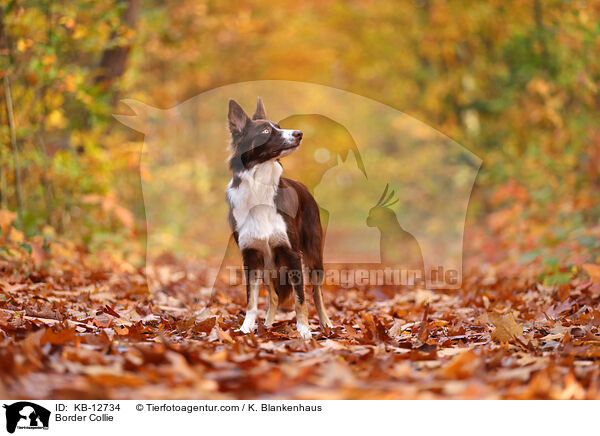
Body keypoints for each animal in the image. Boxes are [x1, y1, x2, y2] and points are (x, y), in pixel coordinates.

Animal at [225, 97, 332, 338]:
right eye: (265, 130)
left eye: (279, 126)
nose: (299, 133)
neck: (259, 187)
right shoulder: (251, 256)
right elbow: (251, 299)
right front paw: (246, 327)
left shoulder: (292, 254)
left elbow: (300, 299)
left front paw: (304, 331)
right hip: (268, 262)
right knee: (273, 296)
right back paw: (267, 323)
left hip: (313, 256)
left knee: (317, 293)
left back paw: (326, 323)